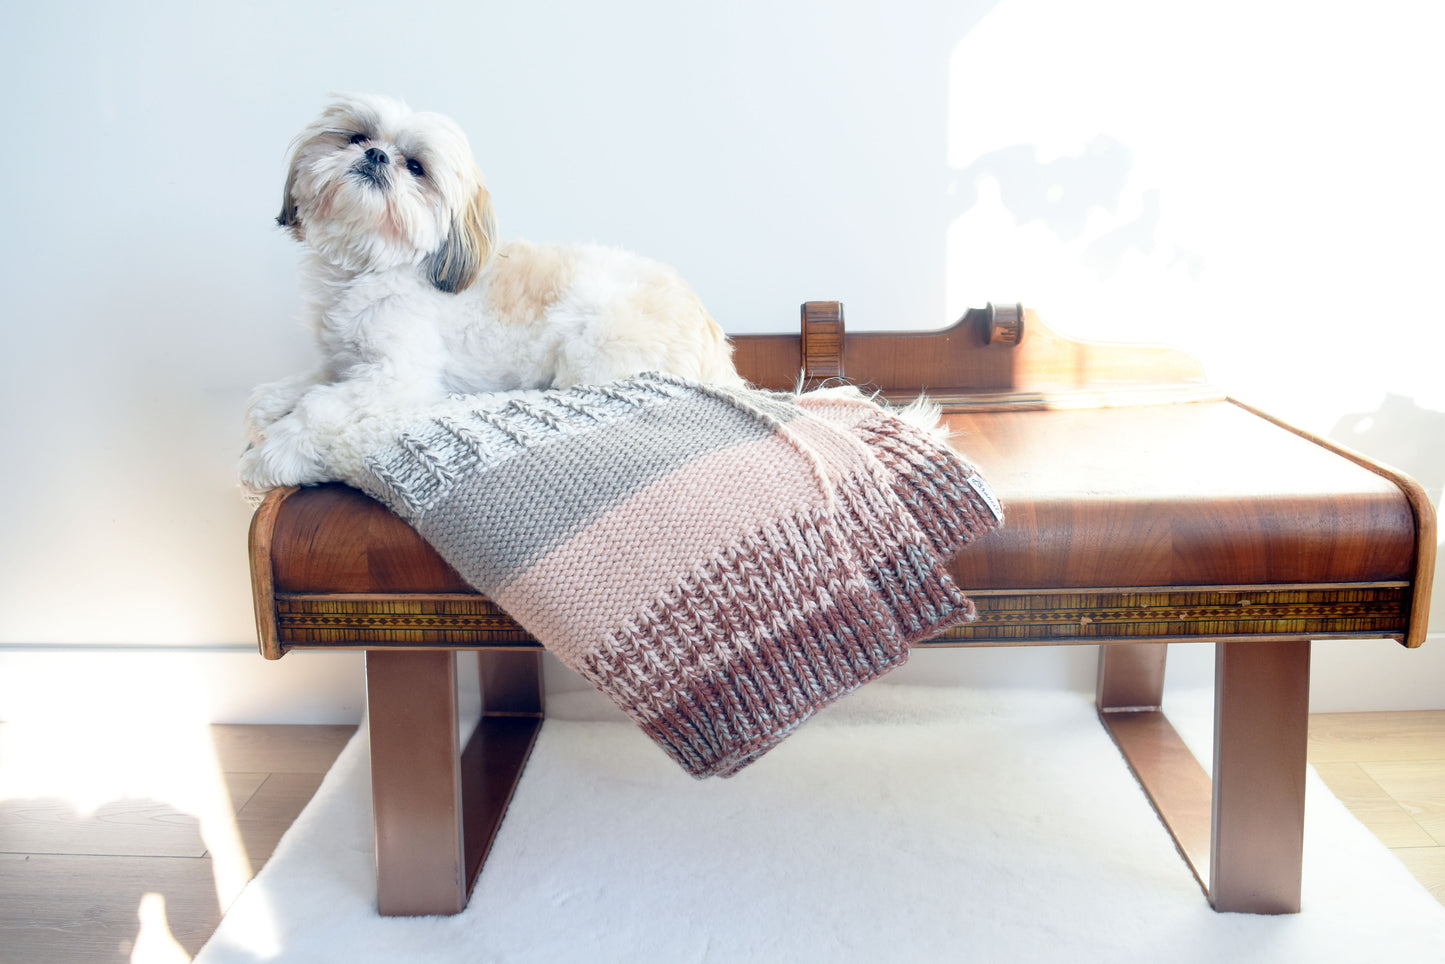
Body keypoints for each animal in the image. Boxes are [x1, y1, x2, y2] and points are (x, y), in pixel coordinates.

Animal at [241, 93, 739, 494]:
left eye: (416, 167)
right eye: (356, 137)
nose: (377, 155)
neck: (369, 268)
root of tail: (714, 342)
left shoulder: (394, 376)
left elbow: (319, 406)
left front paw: (273, 455)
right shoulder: (342, 359)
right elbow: (304, 384)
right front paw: (272, 403)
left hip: (593, 350)